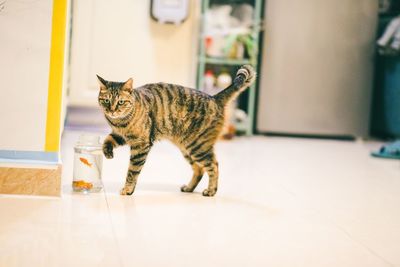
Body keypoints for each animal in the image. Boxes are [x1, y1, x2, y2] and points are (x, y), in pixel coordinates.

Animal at [96, 65, 256, 197]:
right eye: (106, 100)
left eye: (120, 102)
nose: (111, 110)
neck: (120, 122)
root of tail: (214, 98)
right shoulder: (121, 136)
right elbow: (107, 139)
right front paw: (107, 152)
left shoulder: (141, 144)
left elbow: (132, 171)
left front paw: (128, 190)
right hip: (187, 149)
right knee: (199, 170)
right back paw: (189, 188)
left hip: (198, 147)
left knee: (213, 165)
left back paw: (211, 191)